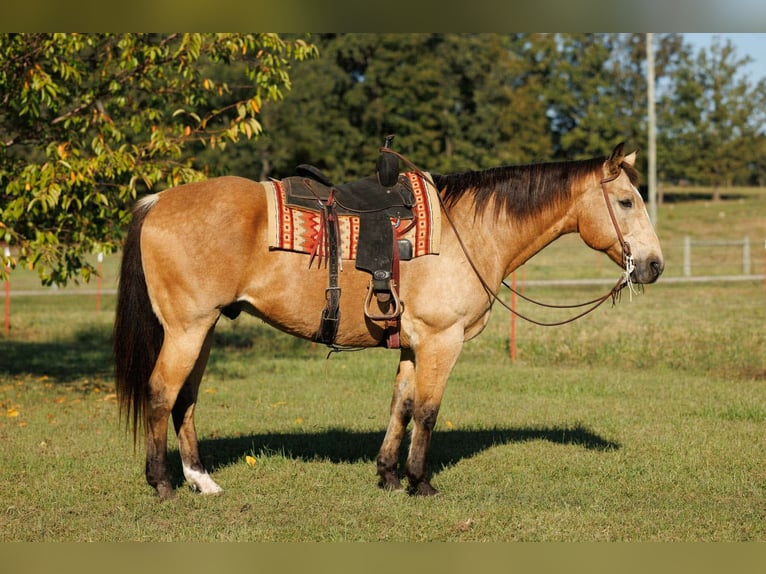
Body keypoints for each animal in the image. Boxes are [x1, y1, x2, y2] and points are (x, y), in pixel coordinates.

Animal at [113, 142, 664, 499]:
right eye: (625, 201)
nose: (654, 265)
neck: (468, 231)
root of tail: (157, 200)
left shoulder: (413, 345)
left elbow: (400, 406)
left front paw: (389, 475)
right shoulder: (442, 341)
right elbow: (428, 411)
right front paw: (420, 482)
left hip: (203, 330)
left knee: (185, 400)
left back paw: (201, 480)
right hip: (187, 330)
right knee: (161, 393)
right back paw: (163, 483)